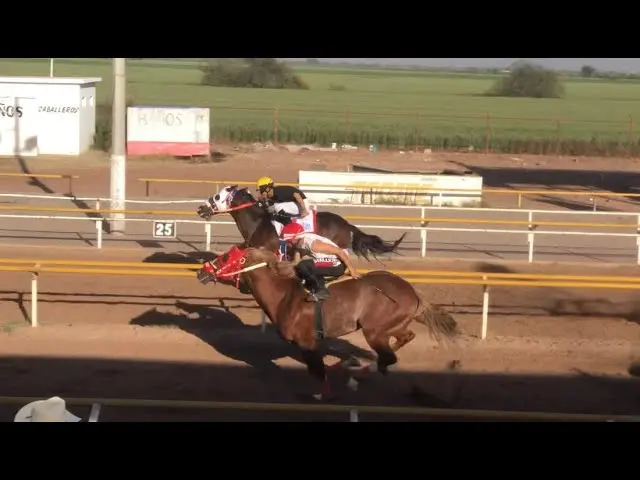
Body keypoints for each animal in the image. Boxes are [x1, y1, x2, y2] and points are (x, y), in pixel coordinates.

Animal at [198, 246, 458, 400]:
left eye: (225, 256)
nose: (201, 271)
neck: (284, 296)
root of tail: (411, 291)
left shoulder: (307, 342)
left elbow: (317, 370)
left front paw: (321, 395)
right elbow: (317, 369)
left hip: (374, 330)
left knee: (388, 357)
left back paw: (359, 373)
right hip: (391, 327)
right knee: (403, 340)